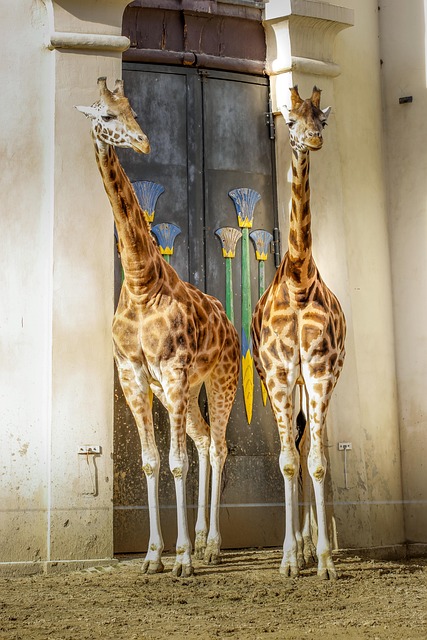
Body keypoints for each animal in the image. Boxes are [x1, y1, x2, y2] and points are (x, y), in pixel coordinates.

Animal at [76, 77, 240, 577]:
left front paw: (181, 558)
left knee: (218, 447)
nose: (144, 141)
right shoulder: (133, 375)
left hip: (219, 379)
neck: (140, 281)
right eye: (106, 116)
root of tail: (230, 323)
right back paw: (203, 541)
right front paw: (153, 556)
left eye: (132, 109)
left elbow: (176, 463)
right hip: (184, 390)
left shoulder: (172, 369)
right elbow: (151, 463)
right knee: (204, 441)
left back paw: (211, 546)